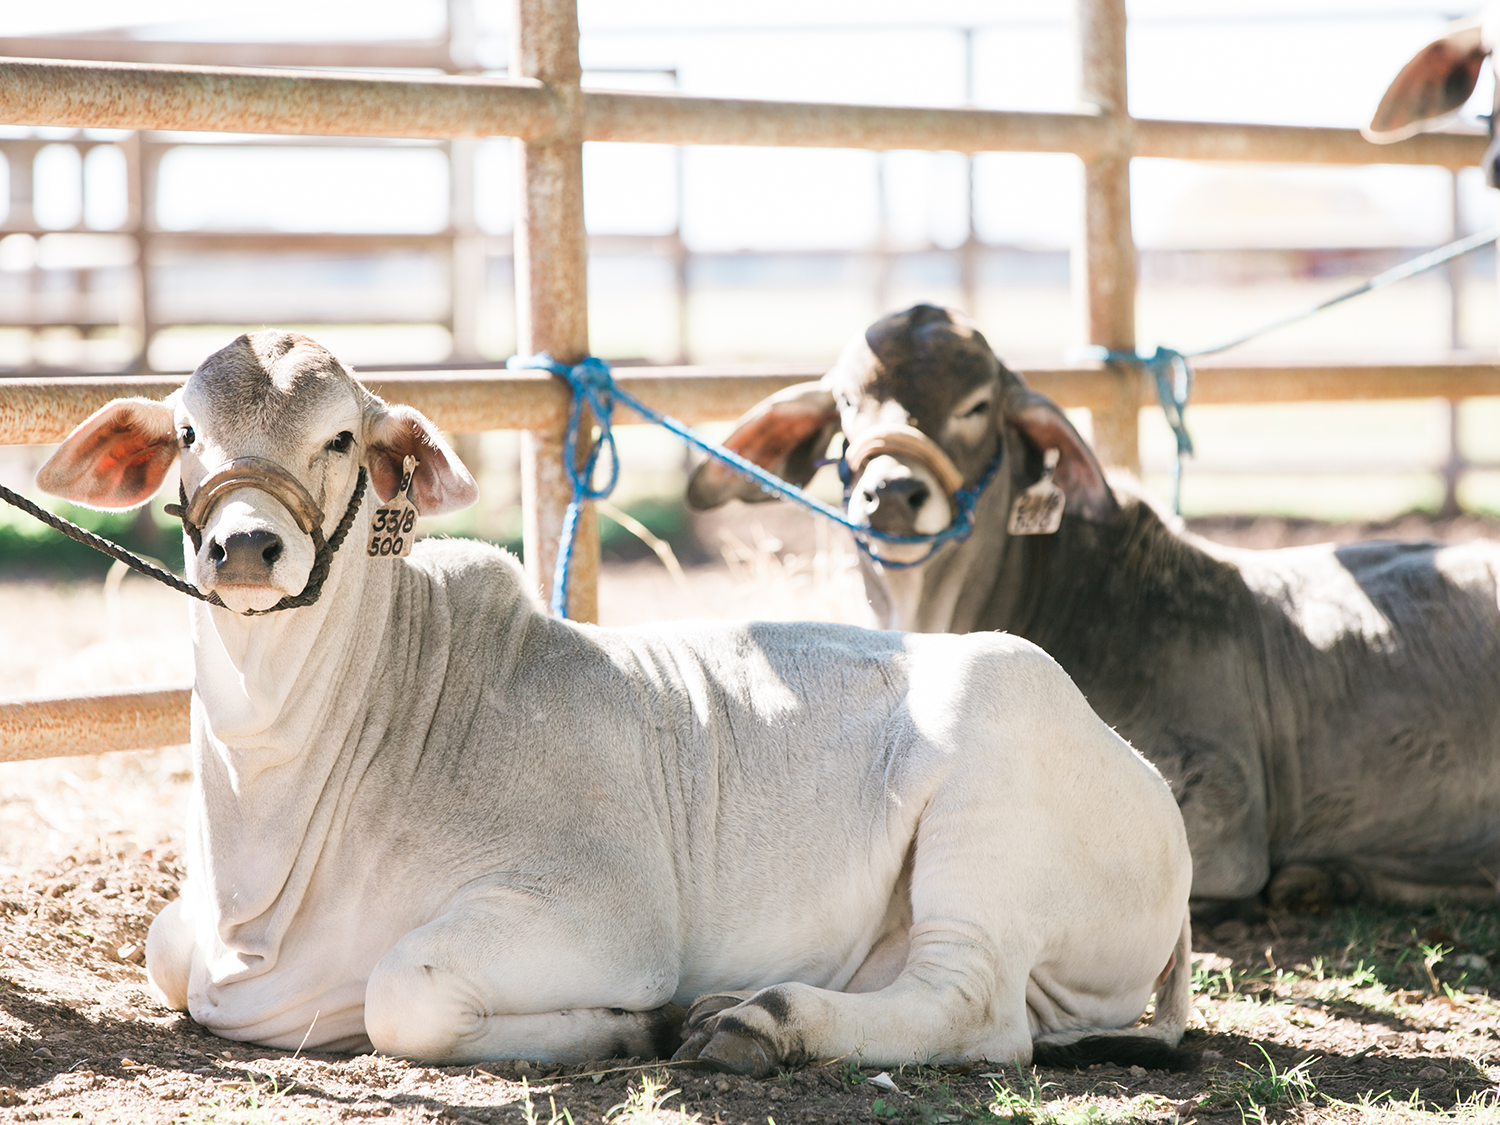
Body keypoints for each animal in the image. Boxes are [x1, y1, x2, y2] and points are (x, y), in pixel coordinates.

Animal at [35, 333, 1194, 1074]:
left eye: (339, 439)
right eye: (189, 433)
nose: (244, 546)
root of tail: (1144, 781)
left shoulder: (605, 914)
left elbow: (400, 994)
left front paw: (627, 1028)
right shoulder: (189, 940)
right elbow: (165, 951)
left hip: (988, 809)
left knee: (977, 1013)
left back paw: (757, 1024)